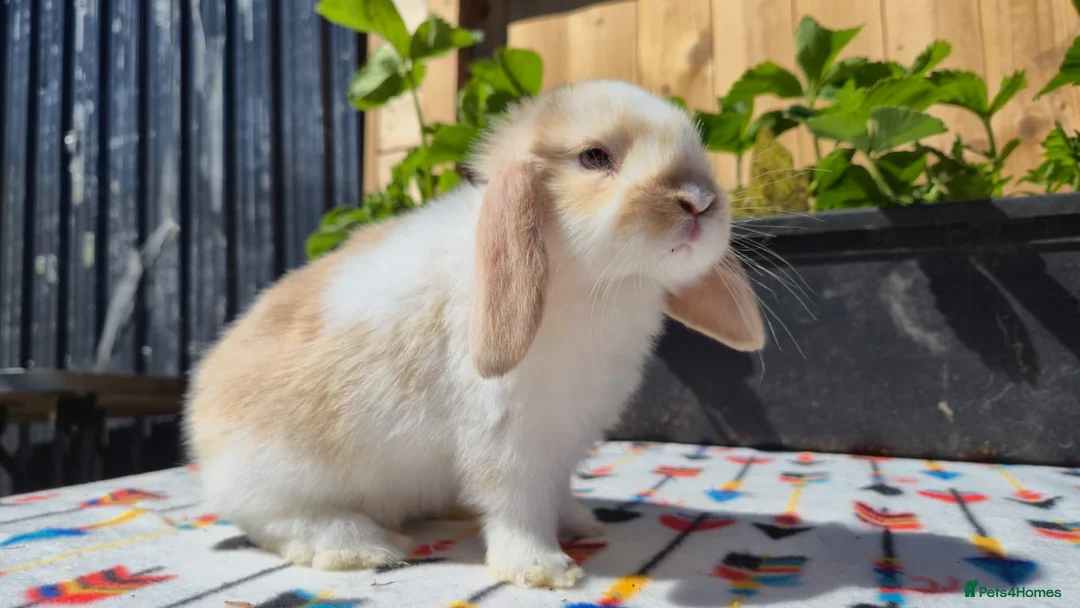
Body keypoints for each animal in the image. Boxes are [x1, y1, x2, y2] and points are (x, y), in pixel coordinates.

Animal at [182, 79, 765, 590]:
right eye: (594, 157)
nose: (698, 201)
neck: (581, 277)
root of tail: (200, 420)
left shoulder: (565, 438)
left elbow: (557, 491)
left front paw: (582, 523)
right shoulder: (507, 440)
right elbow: (518, 505)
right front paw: (543, 570)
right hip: (280, 480)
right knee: (284, 523)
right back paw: (367, 545)